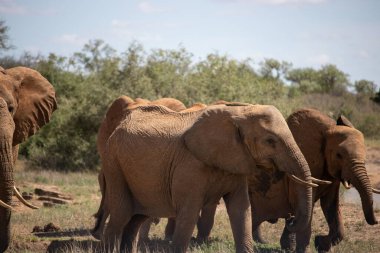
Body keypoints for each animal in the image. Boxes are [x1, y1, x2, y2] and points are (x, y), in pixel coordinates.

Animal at [95, 103, 314, 253]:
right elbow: (189, 212)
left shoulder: (236, 160)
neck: (239, 112)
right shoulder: (190, 165)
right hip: (113, 164)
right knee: (122, 215)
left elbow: (241, 209)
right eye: (270, 141)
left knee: (136, 219)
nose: (291, 220)